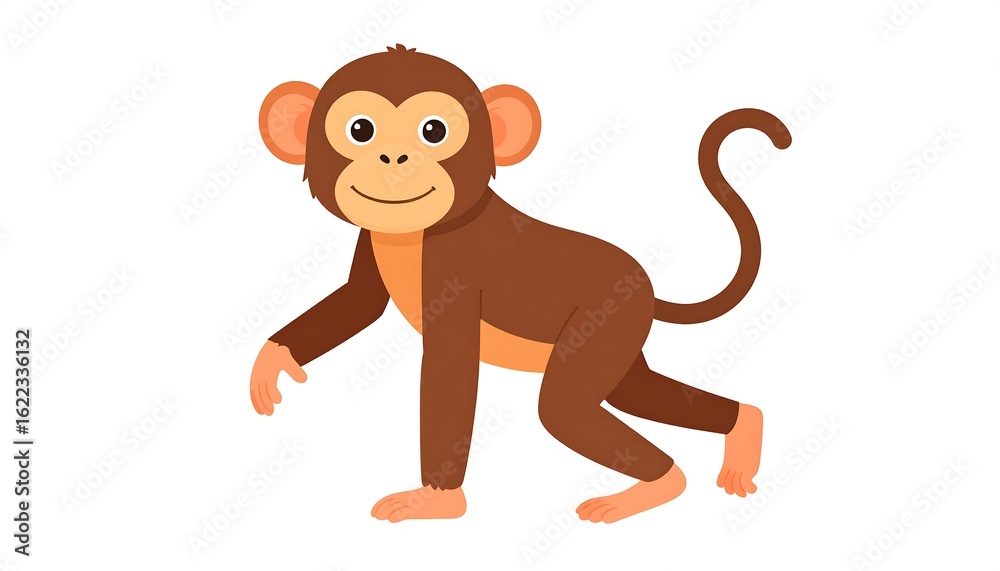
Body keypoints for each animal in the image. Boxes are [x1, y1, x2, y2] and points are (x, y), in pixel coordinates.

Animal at [250, 44, 791, 524]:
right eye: (360, 129)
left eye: (434, 130)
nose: (395, 158)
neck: (420, 234)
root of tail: (644, 285)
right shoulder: (371, 239)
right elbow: (357, 304)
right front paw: (273, 359)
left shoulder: (454, 273)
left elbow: (450, 371)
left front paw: (437, 502)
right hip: (622, 340)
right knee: (636, 393)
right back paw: (745, 425)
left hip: (607, 322)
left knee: (565, 409)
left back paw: (657, 486)